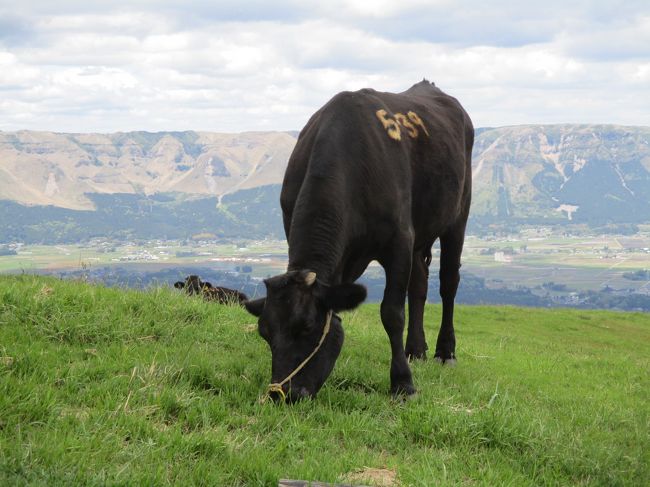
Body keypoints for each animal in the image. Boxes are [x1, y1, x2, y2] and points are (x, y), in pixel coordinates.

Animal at [243, 81, 470, 404]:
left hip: (458, 214)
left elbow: (392, 313)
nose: (283, 394)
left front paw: (403, 384)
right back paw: (416, 350)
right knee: (419, 286)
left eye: (307, 326)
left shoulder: (400, 240)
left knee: (449, 284)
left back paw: (445, 352)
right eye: (265, 332)